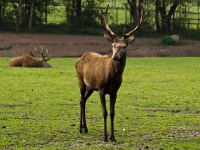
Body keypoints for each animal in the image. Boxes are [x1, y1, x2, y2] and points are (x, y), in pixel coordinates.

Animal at [76, 3, 149, 142]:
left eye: (124, 46)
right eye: (113, 45)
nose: (115, 56)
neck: (111, 78)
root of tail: (79, 58)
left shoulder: (114, 91)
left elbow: (112, 113)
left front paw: (113, 137)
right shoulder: (101, 88)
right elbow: (104, 112)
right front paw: (105, 137)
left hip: (91, 87)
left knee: (84, 101)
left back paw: (85, 128)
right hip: (81, 82)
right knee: (81, 100)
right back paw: (80, 129)